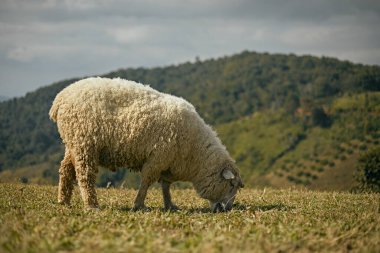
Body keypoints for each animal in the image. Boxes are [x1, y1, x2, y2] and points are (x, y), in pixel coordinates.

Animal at [49, 76, 243, 211]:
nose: (226, 209)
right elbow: (146, 182)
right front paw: (139, 205)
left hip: (73, 143)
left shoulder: (168, 163)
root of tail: (60, 98)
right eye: (231, 185)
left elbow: (166, 186)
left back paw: (63, 201)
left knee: (66, 169)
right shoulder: (157, 158)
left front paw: (170, 205)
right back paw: (91, 205)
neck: (195, 152)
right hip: (84, 143)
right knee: (85, 175)